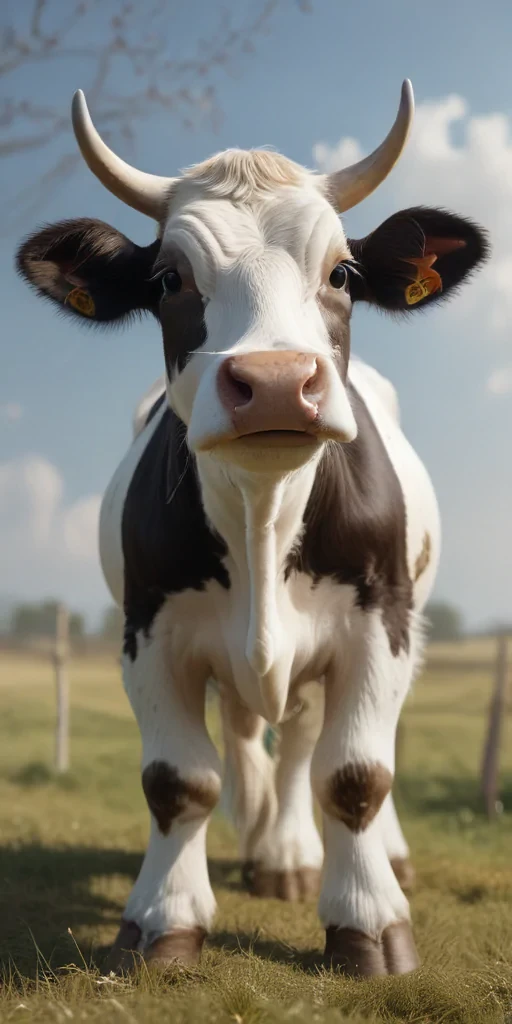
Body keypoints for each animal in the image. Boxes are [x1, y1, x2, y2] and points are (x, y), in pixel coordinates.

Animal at [16, 80, 488, 977]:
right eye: (169, 278)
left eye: (342, 272)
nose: (274, 382)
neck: (263, 518)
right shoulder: (149, 631)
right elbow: (179, 780)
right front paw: (164, 917)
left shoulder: (378, 624)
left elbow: (355, 773)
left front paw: (368, 919)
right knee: (246, 738)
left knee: (308, 745)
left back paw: (305, 857)